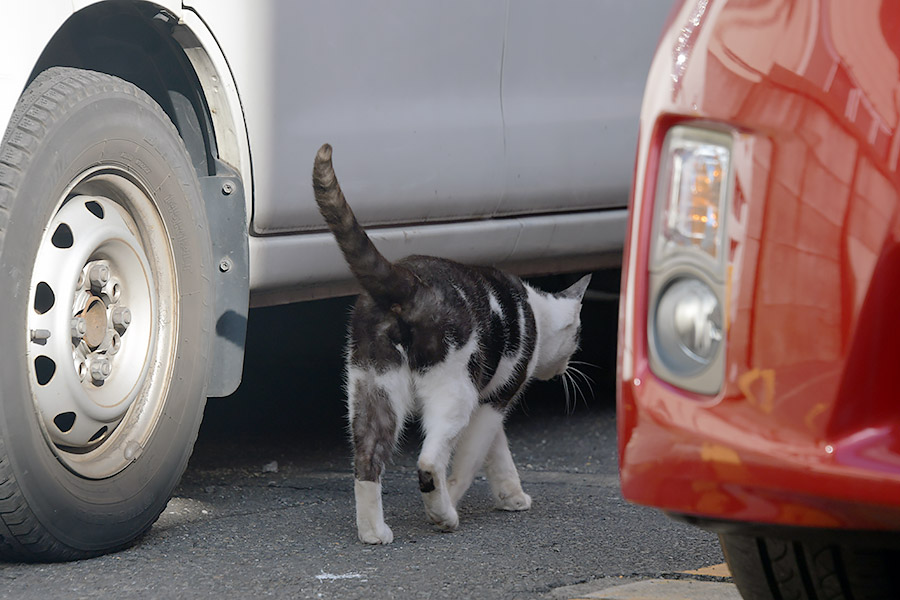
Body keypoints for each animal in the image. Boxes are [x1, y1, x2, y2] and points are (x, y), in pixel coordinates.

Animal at [312, 144, 592, 544]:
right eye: (577, 337)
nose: (566, 367)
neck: (537, 311)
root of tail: (410, 284)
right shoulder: (495, 399)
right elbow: (471, 459)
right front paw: (460, 499)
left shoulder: (489, 401)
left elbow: (497, 452)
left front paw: (511, 496)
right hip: (454, 392)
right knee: (429, 461)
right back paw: (443, 513)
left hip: (373, 386)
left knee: (367, 457)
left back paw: (373, 531)